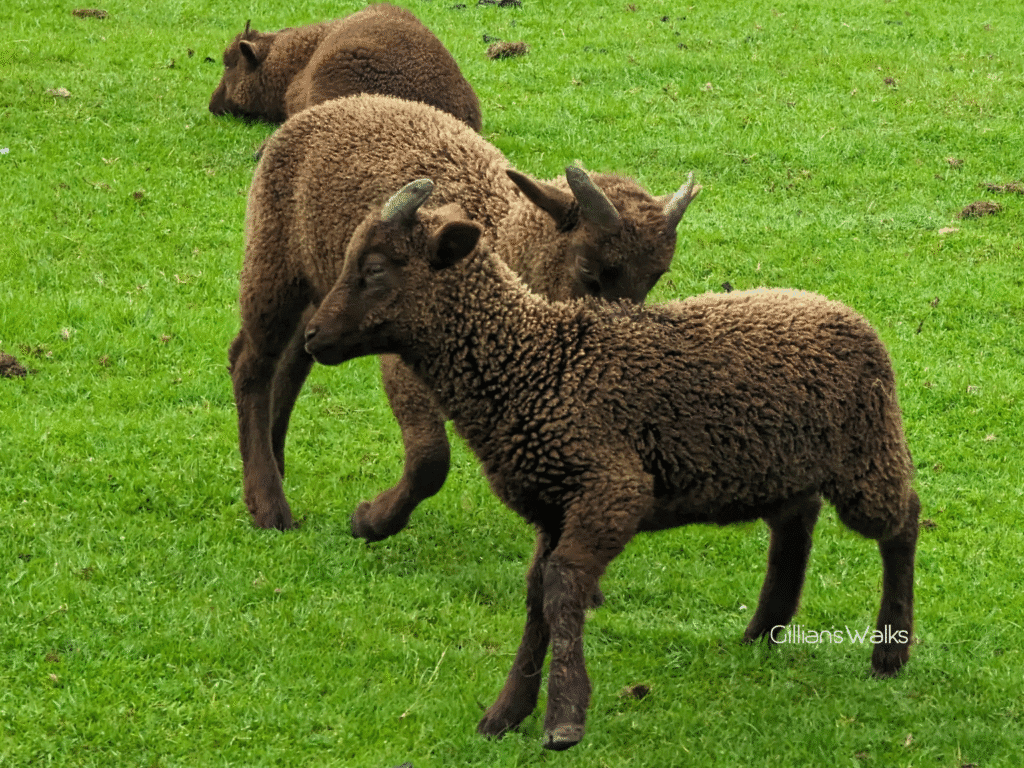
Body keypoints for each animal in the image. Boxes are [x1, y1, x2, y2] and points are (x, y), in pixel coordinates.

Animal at [229, 93, 700, 532]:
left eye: (656, 276)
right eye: (587, 267)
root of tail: (332, 105)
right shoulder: (402, 358)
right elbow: (430, 461)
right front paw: (371, 521)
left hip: (321, 288)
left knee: (294, 360)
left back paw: (275, 463)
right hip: (273, 259)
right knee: (251, 364)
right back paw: (268, 505)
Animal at [302, 179, 921, 751]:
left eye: (375, 268)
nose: (312, 335)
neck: (530, 365)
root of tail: (846, 313)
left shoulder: (610, 490)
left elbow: (562, 587)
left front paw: (563, 720)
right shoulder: (552, 507)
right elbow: (537, 595)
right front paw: (505, 714)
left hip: (867, 453)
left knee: (903, 521)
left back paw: (890, 652)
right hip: (783, 468)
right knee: (796, 524)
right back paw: (761, 632)